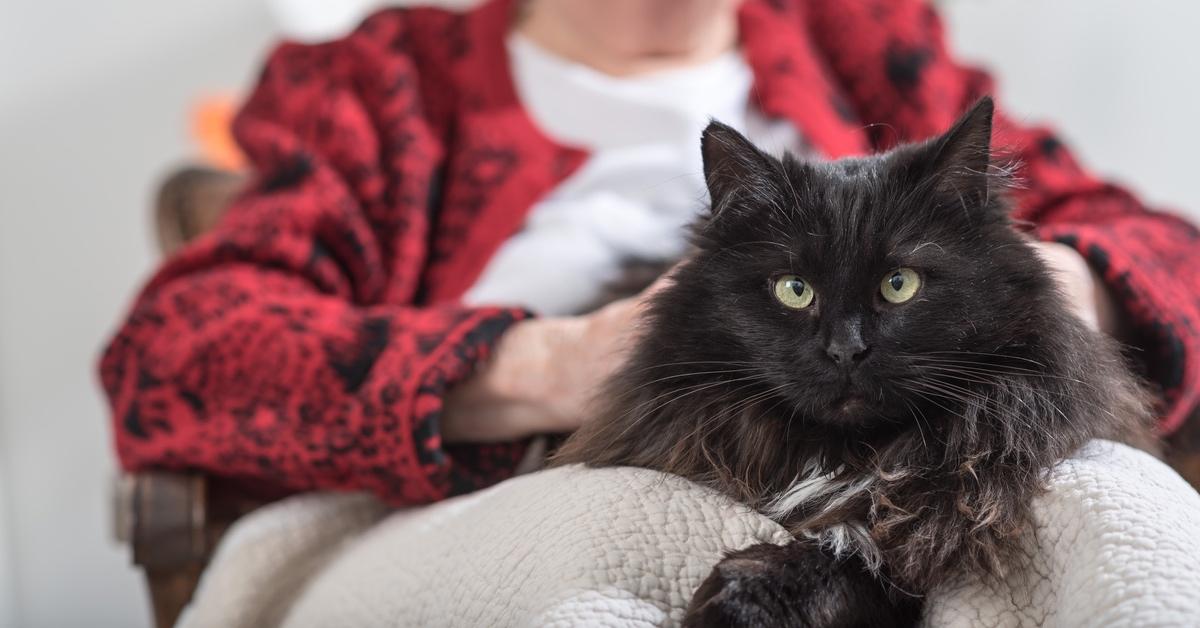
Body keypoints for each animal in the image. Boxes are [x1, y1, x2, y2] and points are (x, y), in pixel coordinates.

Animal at [549, 96, 1152, 624]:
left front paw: (737, 599)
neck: (843, 455)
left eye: (899, 284)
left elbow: (849, 554)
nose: (846, 348)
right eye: (794, 290)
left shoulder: (931, 523)